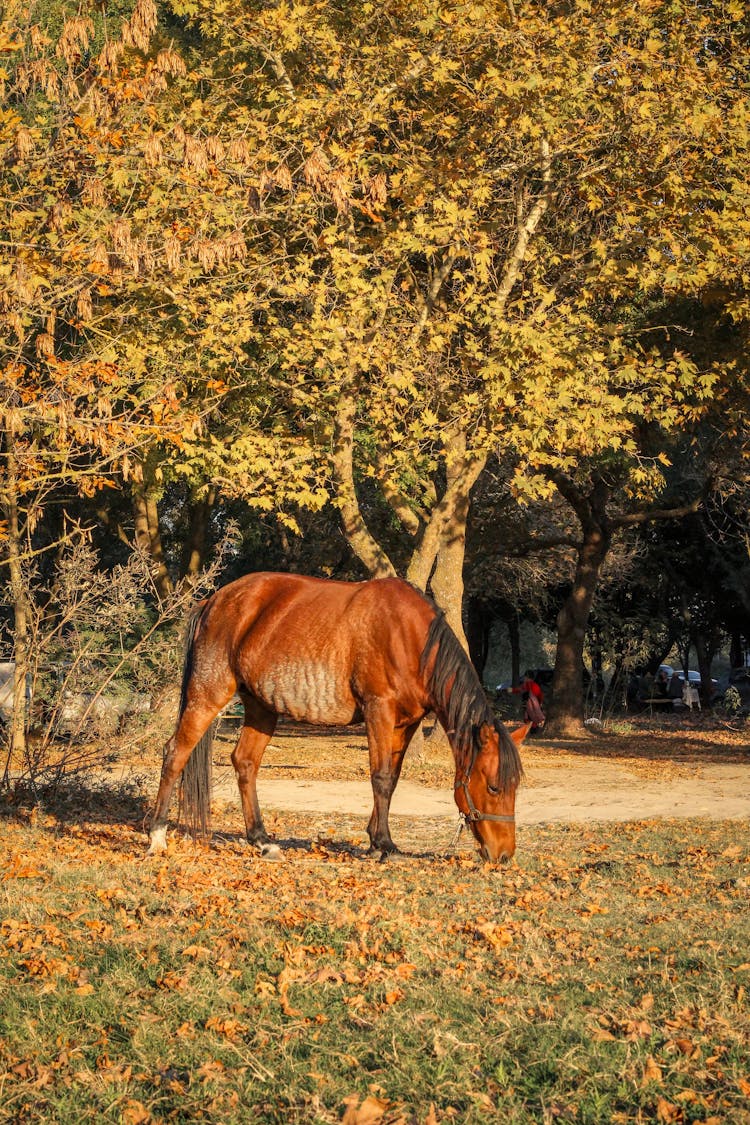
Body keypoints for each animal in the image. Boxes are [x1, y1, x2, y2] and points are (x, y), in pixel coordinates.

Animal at [145, 576, 521, 864]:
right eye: (493, 786)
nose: (503, 855)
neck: (412, 638)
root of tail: (214, 600)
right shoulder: (378, 711)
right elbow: (380, 777)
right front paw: (383, 845)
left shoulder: (407, 722)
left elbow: (392, 779)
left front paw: (378, 840)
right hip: (208, 694)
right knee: (175, 753)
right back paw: (157, 835)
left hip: (261, 708)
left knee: (245, 762)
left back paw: (262, 840)